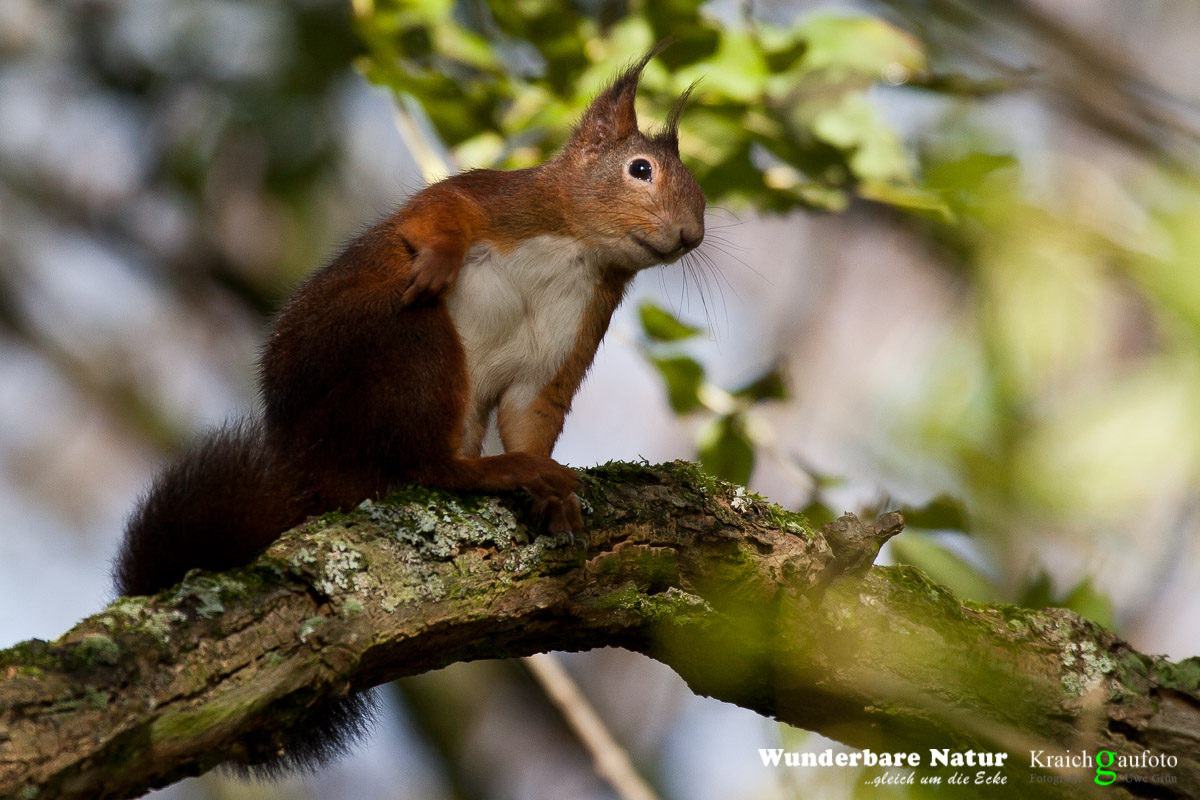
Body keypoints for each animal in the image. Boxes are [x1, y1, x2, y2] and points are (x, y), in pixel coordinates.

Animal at [112, 46, 705, 773]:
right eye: (639, 169)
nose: (692, 234)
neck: (578, 249)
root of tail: (316, 476)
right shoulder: (498, 199)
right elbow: (436, 213)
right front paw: (443, 257)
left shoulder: (571, 338)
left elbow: (533, 412)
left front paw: (557, 499)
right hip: (406, 345)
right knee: (425, 464)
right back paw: (496, 472)